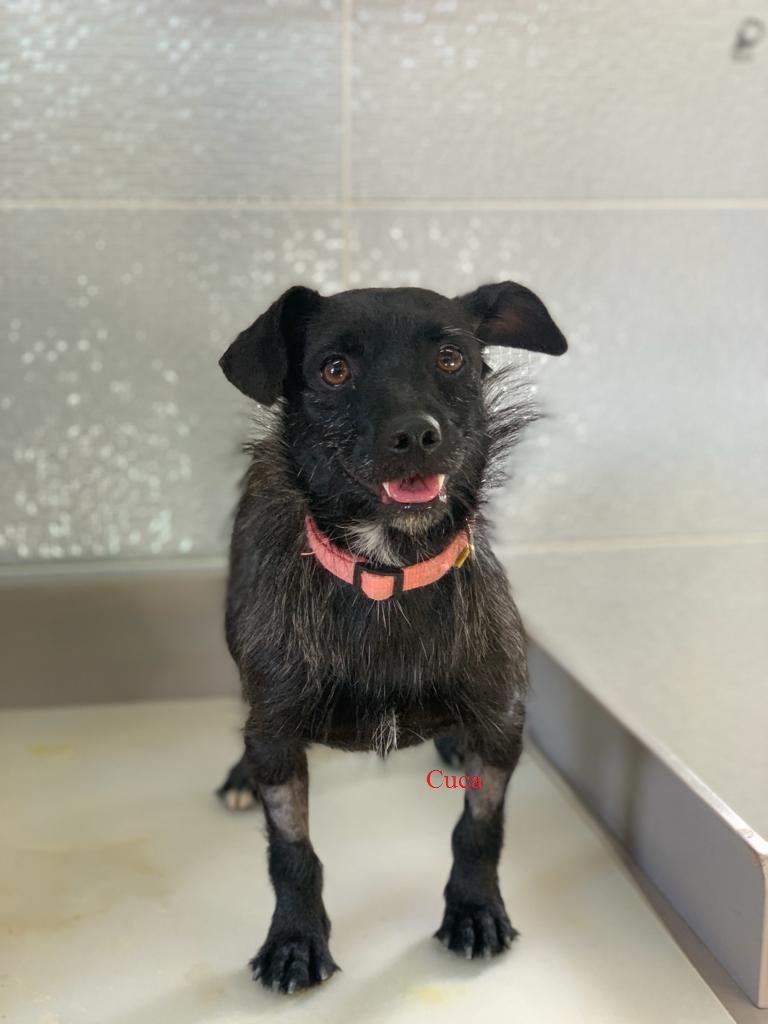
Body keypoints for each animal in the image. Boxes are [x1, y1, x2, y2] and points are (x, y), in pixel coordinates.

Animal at [216, 281, 567, 993]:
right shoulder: (277, 736)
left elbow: (479, 830)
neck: (388, 574)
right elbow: (292, 851)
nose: (414, 434)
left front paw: (475, 910)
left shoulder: (503, 721)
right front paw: (294, 940)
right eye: (334, 370)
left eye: (452, 359)